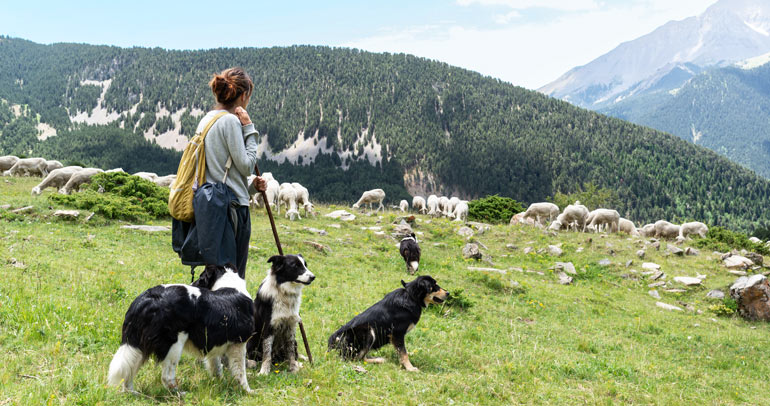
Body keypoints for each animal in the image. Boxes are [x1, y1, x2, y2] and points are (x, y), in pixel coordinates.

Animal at [106, 264, 255, 394]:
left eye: (201, 278)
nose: (193, 283)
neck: (230, 284)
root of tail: (146, 299)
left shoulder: (214, 343)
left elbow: (216, 367)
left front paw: (220, 383)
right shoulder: (239, 343)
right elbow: (240, 372)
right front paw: (247, 391)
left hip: (137, 345)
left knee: (128, 372)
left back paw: (133, 393)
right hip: (174, 344)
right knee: (166, 376)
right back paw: (180, 394)